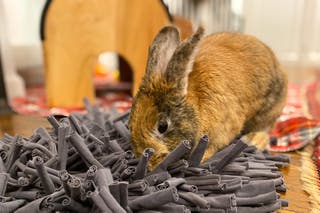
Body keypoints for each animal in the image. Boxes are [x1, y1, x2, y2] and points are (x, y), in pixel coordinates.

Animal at [127, 25, 288, 170]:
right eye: (129, 124)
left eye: (162, 126)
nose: (150, 165)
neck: (197, 104)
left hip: (269, 108)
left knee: (265, 128)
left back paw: (253, 140)